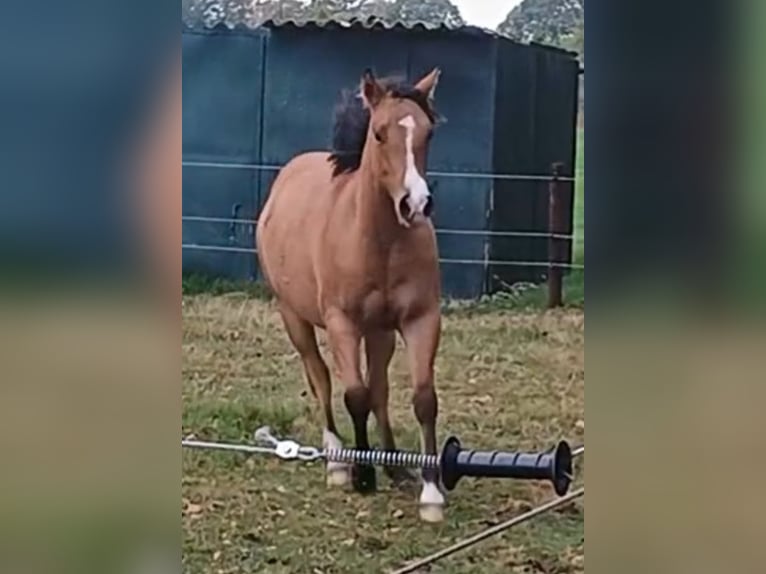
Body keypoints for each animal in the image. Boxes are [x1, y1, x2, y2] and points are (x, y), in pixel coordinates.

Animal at [258, 68, 448, 528]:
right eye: (379, 134)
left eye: (429, 132)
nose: (416, 204)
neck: (379, 242)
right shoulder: (342, 322)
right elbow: (354, 394)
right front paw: (362, 473)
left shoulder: (420, 320)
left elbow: (422, 399)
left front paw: (431, 492)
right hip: (296, 318)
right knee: (322, 379)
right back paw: (338, 461)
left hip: (379, 332)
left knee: (379, 387)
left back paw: (395, 464)